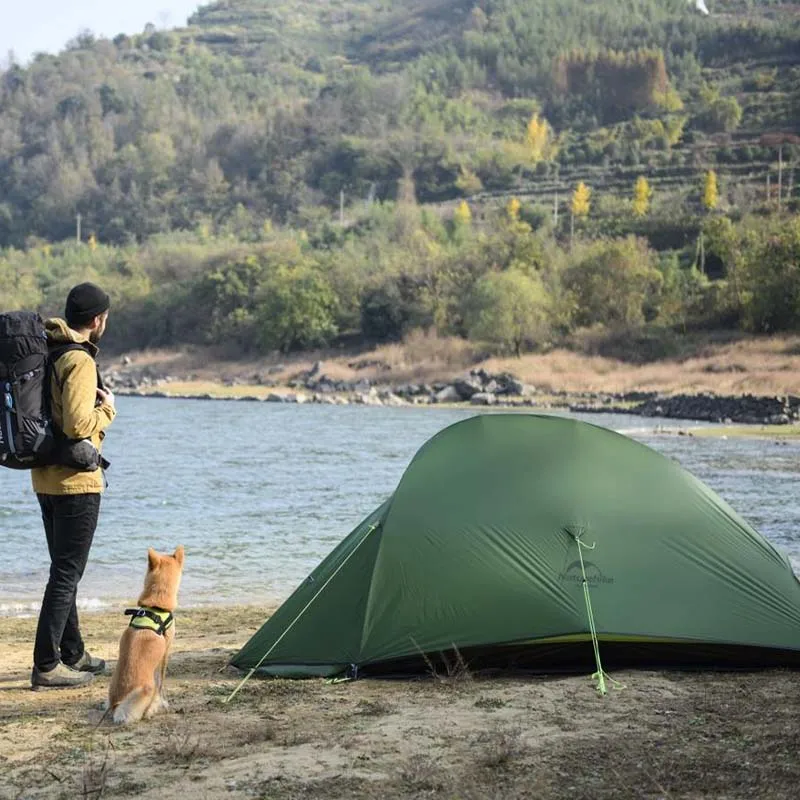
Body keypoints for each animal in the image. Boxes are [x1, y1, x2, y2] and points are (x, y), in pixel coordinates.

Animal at [108, 544, 184, 724]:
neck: (155, 607)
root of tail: (117, 706)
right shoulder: (166, 651)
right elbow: (161, 680)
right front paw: (164, 701)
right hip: (147, 690)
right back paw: (153, 709)